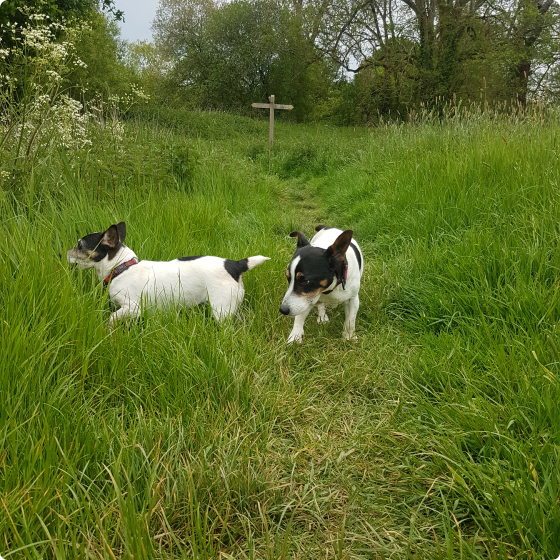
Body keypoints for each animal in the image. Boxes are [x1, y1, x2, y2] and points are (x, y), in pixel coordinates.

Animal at [67, 222, 270, 326]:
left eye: (79, 246)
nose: (62, 254)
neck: (122, 268)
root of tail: (235, 265)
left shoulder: (133, 308)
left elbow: (111, 318)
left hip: (222, 310)